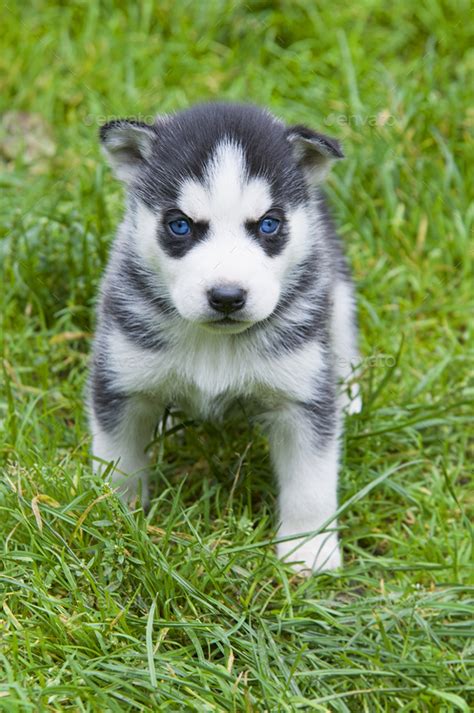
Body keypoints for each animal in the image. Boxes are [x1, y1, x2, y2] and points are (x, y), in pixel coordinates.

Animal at [89, 101, 362, 572]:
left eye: (269, 224)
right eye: (180, 226)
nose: (227, 297)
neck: (213, 343)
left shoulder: (301, 396)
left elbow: (311, 483)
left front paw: (309, 550)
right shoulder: (119, 377)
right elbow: (116, 461)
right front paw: (114, 519)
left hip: (337, 292)